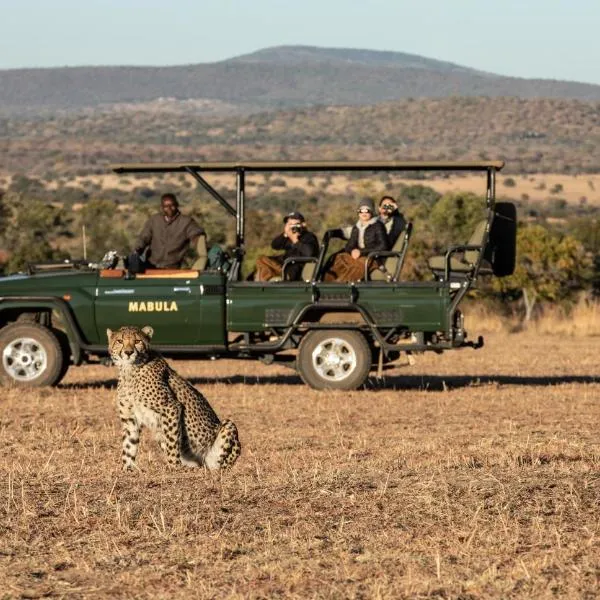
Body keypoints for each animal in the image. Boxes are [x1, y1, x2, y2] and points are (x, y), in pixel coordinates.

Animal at [106, 326, 240, 472]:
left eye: (137, 341)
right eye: (119, 341)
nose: (128, 352)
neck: (129, 370)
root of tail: (203, 464)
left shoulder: (171, 407)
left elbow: (172, 440)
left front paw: (174, 466)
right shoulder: (130, 418)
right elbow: (128, 445)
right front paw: (127, 469)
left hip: (228, 426)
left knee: (220, 466)